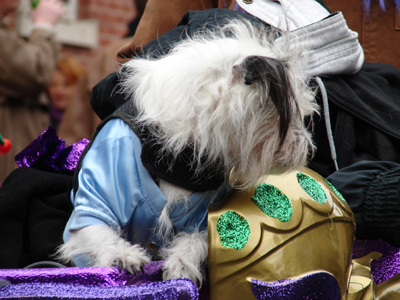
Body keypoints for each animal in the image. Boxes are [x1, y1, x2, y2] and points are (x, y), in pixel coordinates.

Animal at [57, 19, 318, 286]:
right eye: (288, 114)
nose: (308, 150)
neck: (174, 158)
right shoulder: (90, 207)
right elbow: (98, 233)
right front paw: (121, 255)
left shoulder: (201, 221)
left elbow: (194, 241)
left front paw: (182, 263)